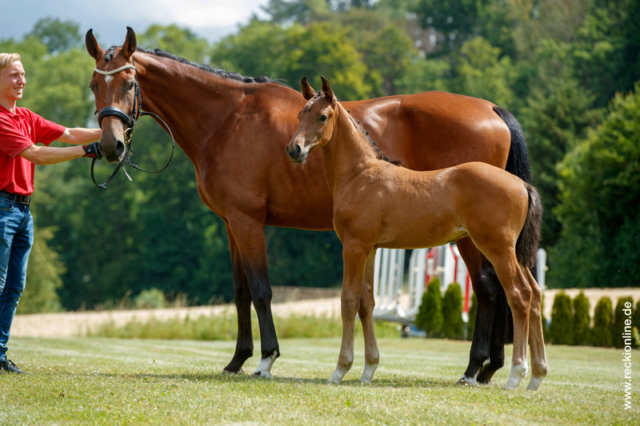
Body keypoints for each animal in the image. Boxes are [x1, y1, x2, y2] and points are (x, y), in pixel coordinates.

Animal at [288, 78, 548, 392]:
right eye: (300, 114)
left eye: (322, 116)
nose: (294, 149)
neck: (361, 175)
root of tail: (522, 185)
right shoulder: (371, 249)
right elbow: (367, 302)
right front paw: (368, 369)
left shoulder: (353, 247)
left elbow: (348, 301)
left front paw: (340, 370)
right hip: (515, 253)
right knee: (535, 294)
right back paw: (537, 376)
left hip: (497, 249)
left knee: (519, 295)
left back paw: (515, 375)